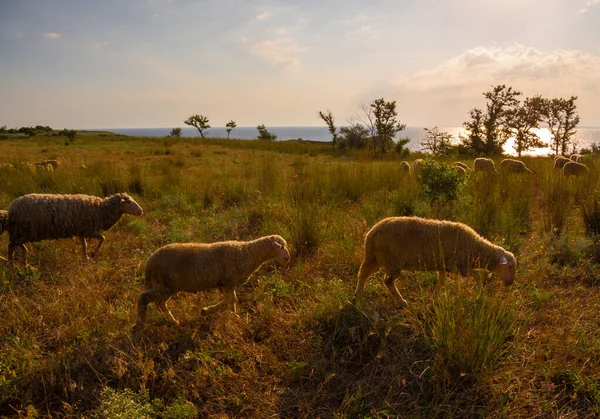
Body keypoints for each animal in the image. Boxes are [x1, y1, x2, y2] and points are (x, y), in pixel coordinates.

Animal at [5, 194, 143, 266]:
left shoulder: (82, 230)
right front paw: (93, 253)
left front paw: (86, 257)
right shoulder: (89, 230)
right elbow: (103, 238)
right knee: (11, 246)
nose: (141, 211)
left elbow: (84, 245)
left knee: (16, 246)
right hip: (21, 231)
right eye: (129, 202)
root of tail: (11, 207)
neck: (101, 209)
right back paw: (11, 264)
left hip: (21, 232)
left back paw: (24, 261)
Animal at [135, 233, 290, 328]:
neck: (248, 253)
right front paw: (233, 316)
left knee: (159, 303)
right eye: (281, 247)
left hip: (166, 286)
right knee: (144, 298)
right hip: (165, 284)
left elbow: (230, 300)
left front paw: (210, 311)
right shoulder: (229, 281)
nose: (288, 259)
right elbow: (232, 300)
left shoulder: (225, 283)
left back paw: (172, 321)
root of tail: (149, 262)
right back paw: (141, 323)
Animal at [354, 217, 516, 306]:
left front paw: (436, 297)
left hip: (375, 258)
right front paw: (479, 297)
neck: (475, 248)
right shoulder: (459, 266)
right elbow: (479, 276)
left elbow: (442, 281)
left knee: (365, 275)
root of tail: (370, 234)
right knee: (383, 280)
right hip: (390, 260)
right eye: (509, 266)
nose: (510, 283)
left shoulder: (444, 265)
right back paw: (398, 301)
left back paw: (359, 297)